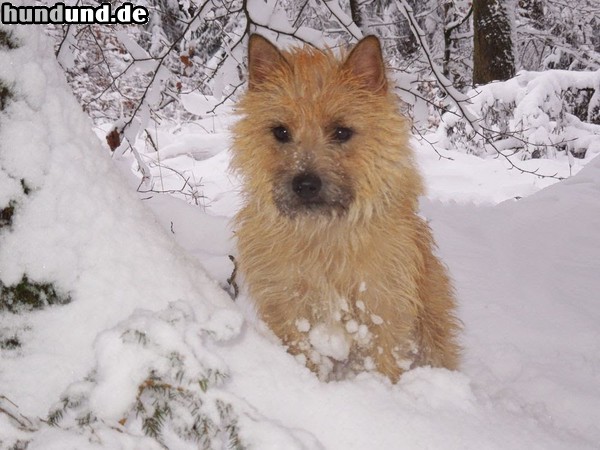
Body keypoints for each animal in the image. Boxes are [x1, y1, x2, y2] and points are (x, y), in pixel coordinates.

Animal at [230, 33, 460, 382]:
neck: (322, 233)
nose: (305, 184)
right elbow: (303, 351)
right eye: (281, 131)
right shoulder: (287, 304)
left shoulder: (380, 306)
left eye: (341, 132)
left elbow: (383, 360)